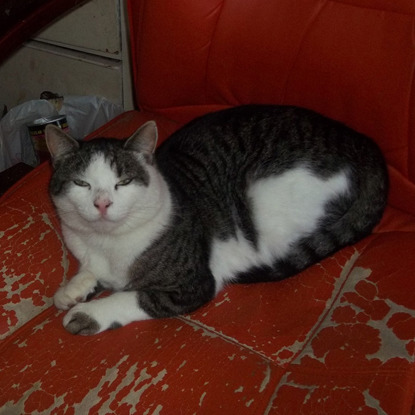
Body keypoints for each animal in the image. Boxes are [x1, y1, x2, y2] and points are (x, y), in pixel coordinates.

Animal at [45, 105, 390, 336]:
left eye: (124, 182)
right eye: (82, 184)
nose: (102, 203)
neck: (105, 243)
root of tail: (362, 141)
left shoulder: (193, 285)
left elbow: (137, 296)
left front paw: (87, 312)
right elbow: (91, 270)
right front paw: (73, 289)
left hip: (265, 198)